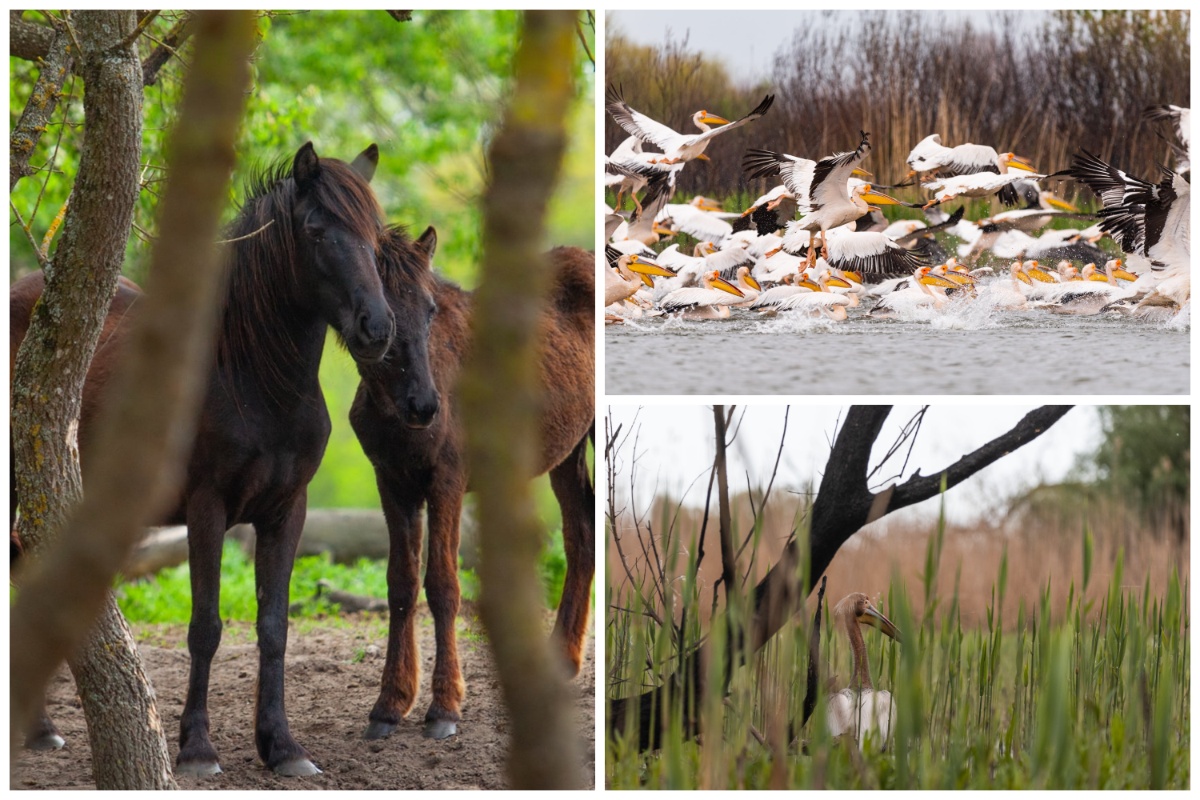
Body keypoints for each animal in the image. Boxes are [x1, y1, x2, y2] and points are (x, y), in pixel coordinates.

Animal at [10, 142, 393, 777]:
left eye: (376, 237)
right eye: (316, 230)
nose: (378, 327)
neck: (250, 376)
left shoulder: (287, 512)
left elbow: (273, 626)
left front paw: (283, 747)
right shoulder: (207, 509)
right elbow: (206, 627)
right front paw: (196, 749)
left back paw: (39, 729)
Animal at [348, 227, 595, 743]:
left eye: (430, 309)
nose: (424, 405)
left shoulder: (448, 479)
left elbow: (444, 585)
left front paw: (444, 707)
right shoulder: (392, 481)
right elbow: (400, 585)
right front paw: (389, 704)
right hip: (567, 452)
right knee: (582, 534)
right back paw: (561, 660)